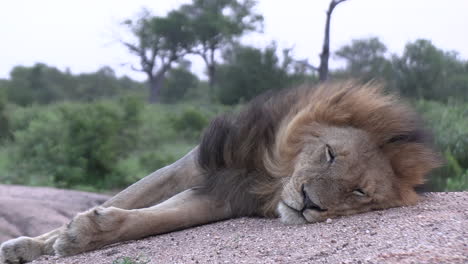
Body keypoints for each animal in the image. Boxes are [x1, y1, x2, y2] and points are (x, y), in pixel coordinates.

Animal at [0, 81, 438, 262]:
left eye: (359, 193)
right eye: (330, 154)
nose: (309, 203)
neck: (269, 177)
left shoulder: (220, 200)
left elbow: (147, 221)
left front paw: (83, 234)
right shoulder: (191, 167)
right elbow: (125, 198)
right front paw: (32, 245)